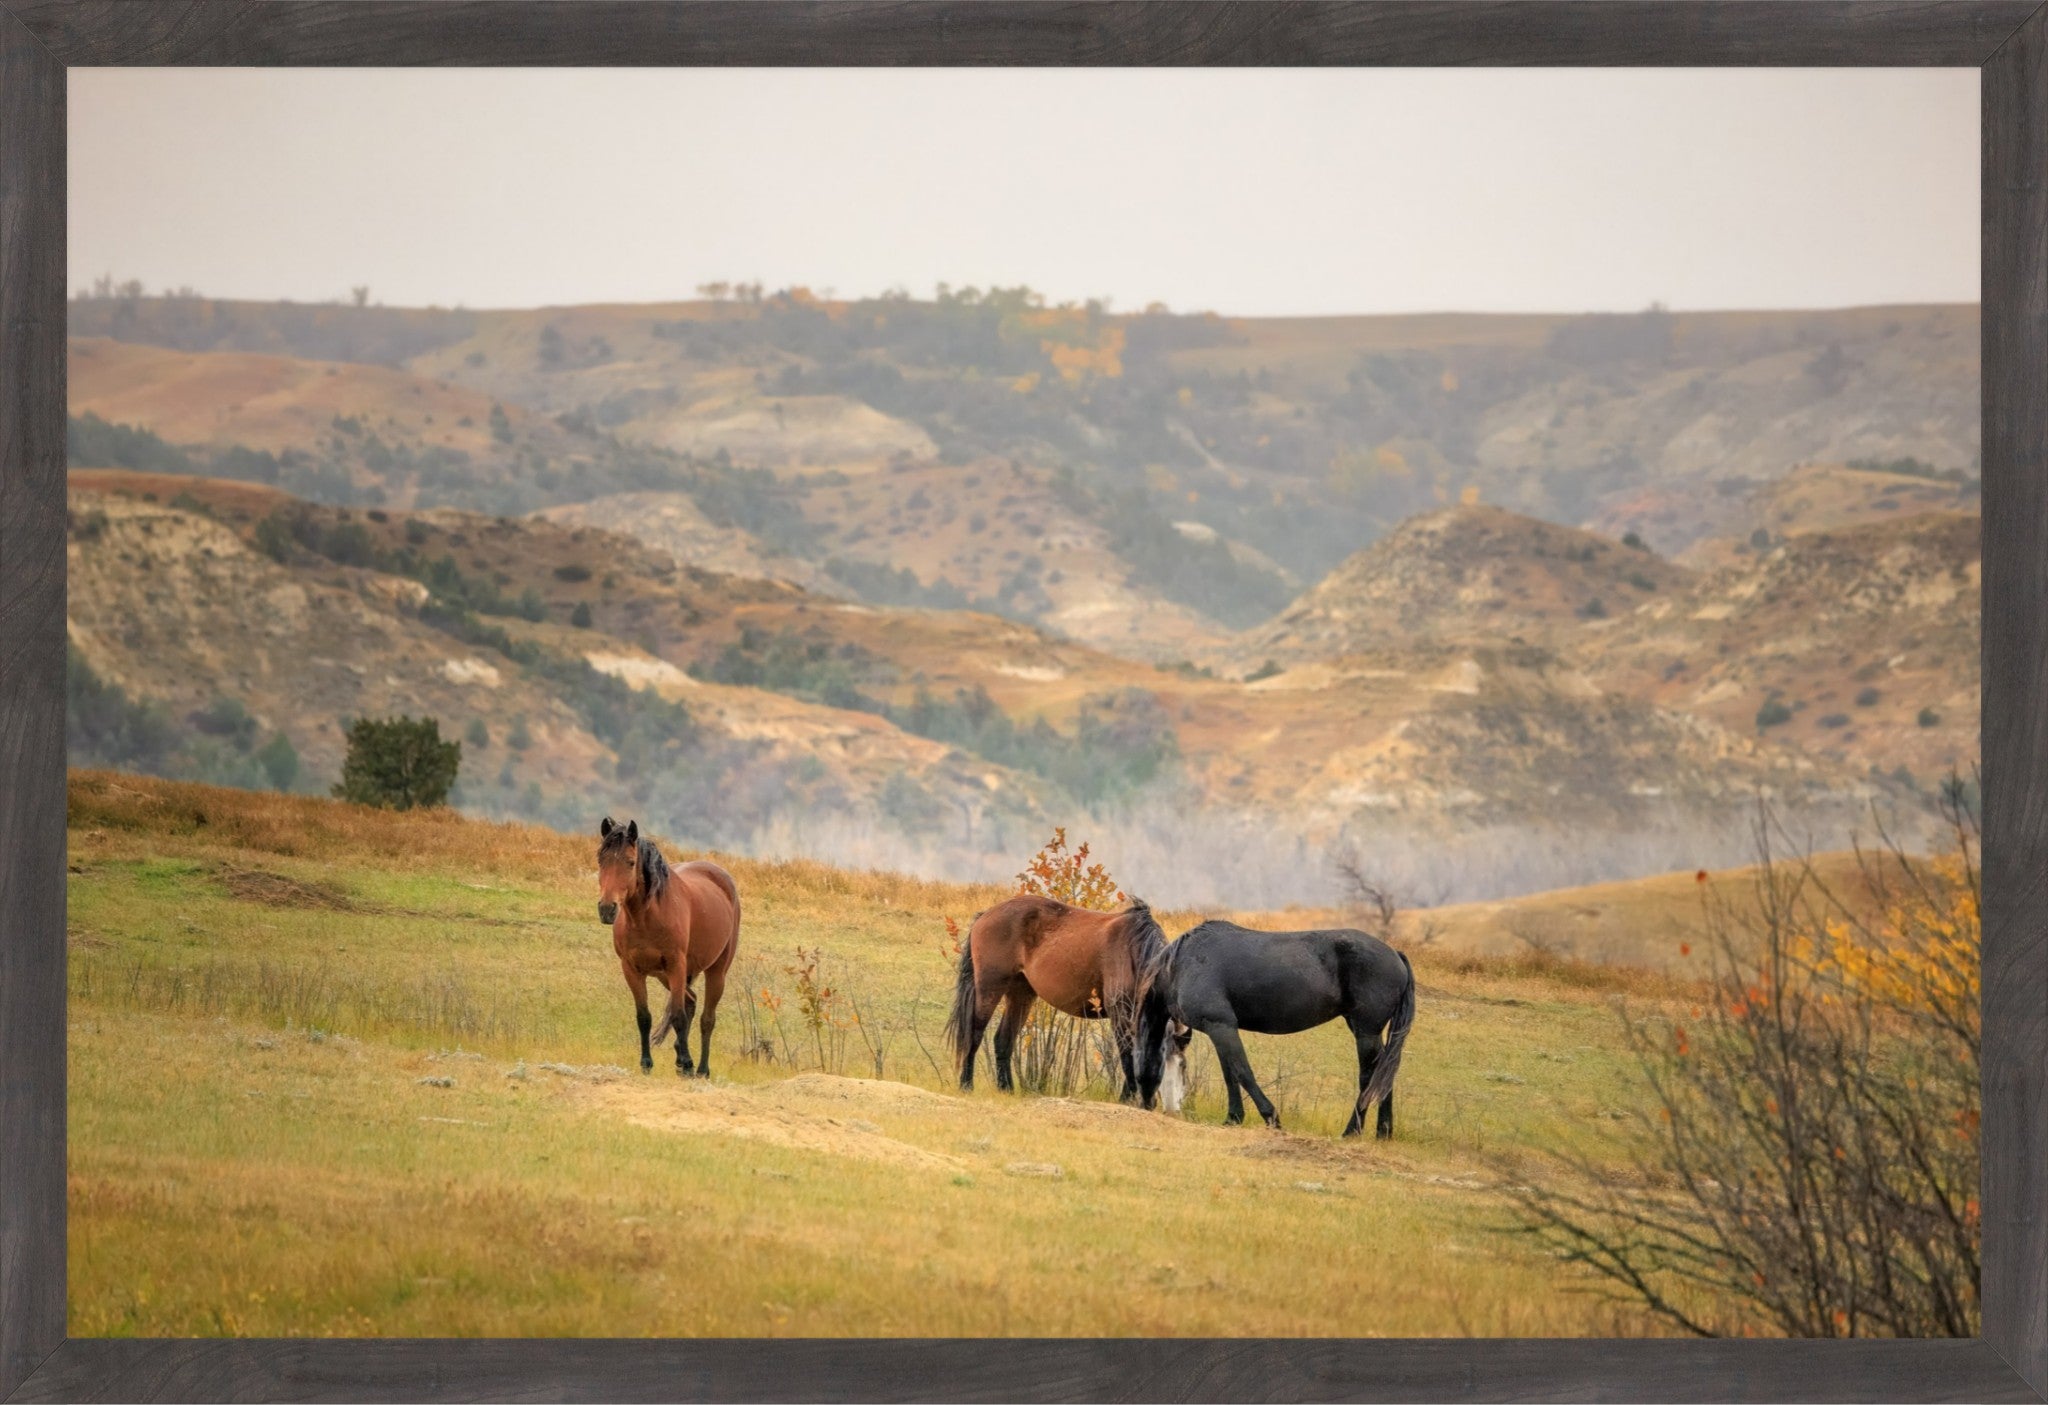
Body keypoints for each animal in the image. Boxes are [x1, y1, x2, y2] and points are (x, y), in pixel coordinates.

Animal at [595, 817, 741, 1078]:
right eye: (600, 860)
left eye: (631, 862)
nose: (607, 909)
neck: (646, 917)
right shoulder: (631, 970)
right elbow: (644, 1017)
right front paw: (646, 1063)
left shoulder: (676, 966)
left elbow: (678, 1016)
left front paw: (687, 1063)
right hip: (664, 975)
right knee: (691, 1000)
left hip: (715, 971)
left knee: (706, 1018)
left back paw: (701, 1069)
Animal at [944, 894, 1186, 1106]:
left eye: (1181, 1064)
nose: (1153, 1103)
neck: (1133, 951)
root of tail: (985, 915)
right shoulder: (1120, 1012)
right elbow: (1127, 1055)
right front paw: (1126, 1099)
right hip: (990, 987)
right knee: (974, 1034)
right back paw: (966, 1085)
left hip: (1020, 993)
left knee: (1003, 1040)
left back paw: (1006, 1089)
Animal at [1135, 919, 1416, 1138]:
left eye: (1181, 1067)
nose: (1152, 1105)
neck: (1182, 965)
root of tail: (1396, 954)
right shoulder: (1217, 1030)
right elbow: (1230, 1074)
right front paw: (1233, 1118)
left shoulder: (1222, 1026)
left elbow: (1243, 1072)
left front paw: (1271, 1118)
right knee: (1384, 1074)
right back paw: (1383, 1132)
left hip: (1366, 1032)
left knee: (1369, 1077)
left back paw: (1351, 1131)